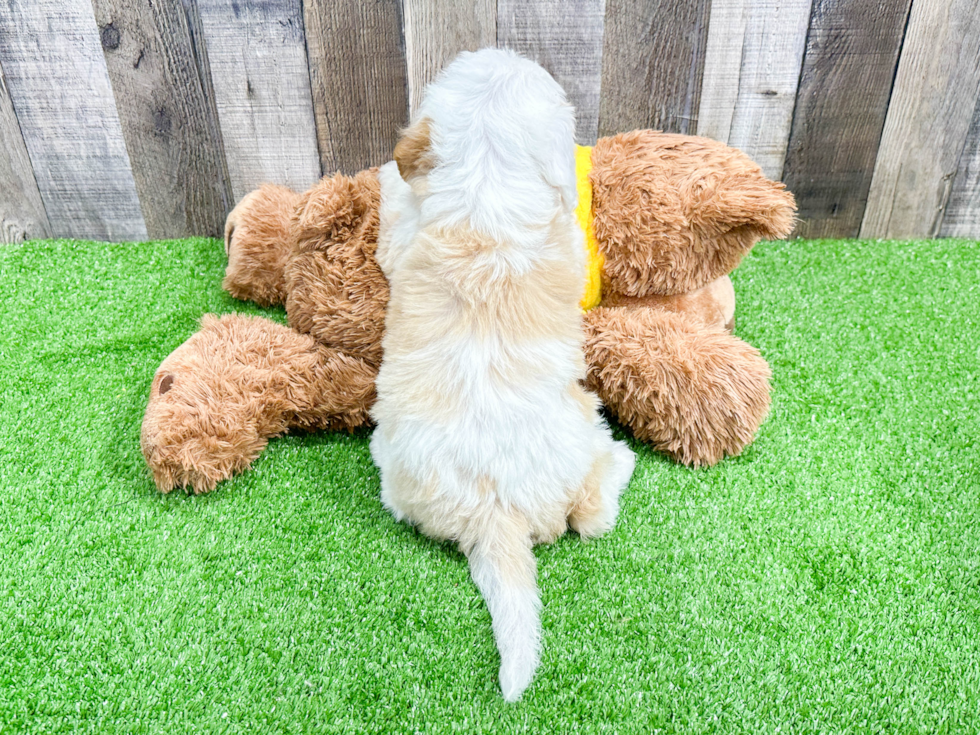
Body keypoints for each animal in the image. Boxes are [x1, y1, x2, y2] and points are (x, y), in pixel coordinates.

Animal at [370, 49, 636, 704]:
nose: (505, 50)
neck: (484, 201)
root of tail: (496, 514)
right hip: (583, 429)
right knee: (594, 515)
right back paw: (623, 460)